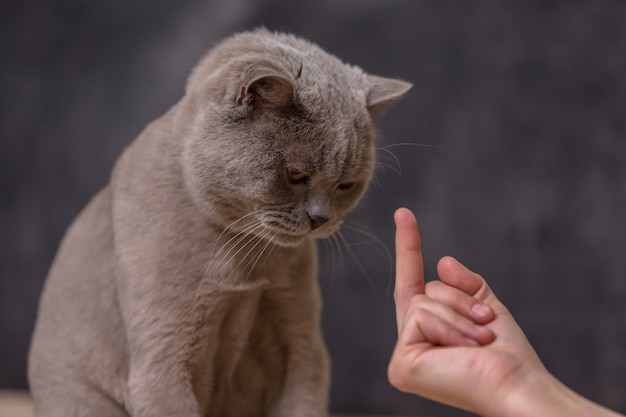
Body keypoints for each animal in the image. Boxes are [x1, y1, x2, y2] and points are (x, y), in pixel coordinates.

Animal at [28, 27, 410, 414]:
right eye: (295, 174)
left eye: (346, 184)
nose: (320, 217)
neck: (245, 261)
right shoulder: (165, 357)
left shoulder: (303, 349)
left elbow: (302, 401)